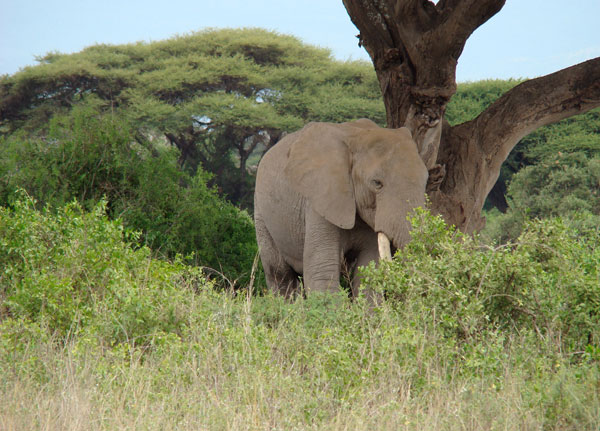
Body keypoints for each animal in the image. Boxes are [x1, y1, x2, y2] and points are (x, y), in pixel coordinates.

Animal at [253, 118, 426, 300]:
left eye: (426, 180)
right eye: (377, 183)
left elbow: (368, 272)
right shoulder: (321, 199)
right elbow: (322, 274)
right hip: (261, 213)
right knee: (280, 275)